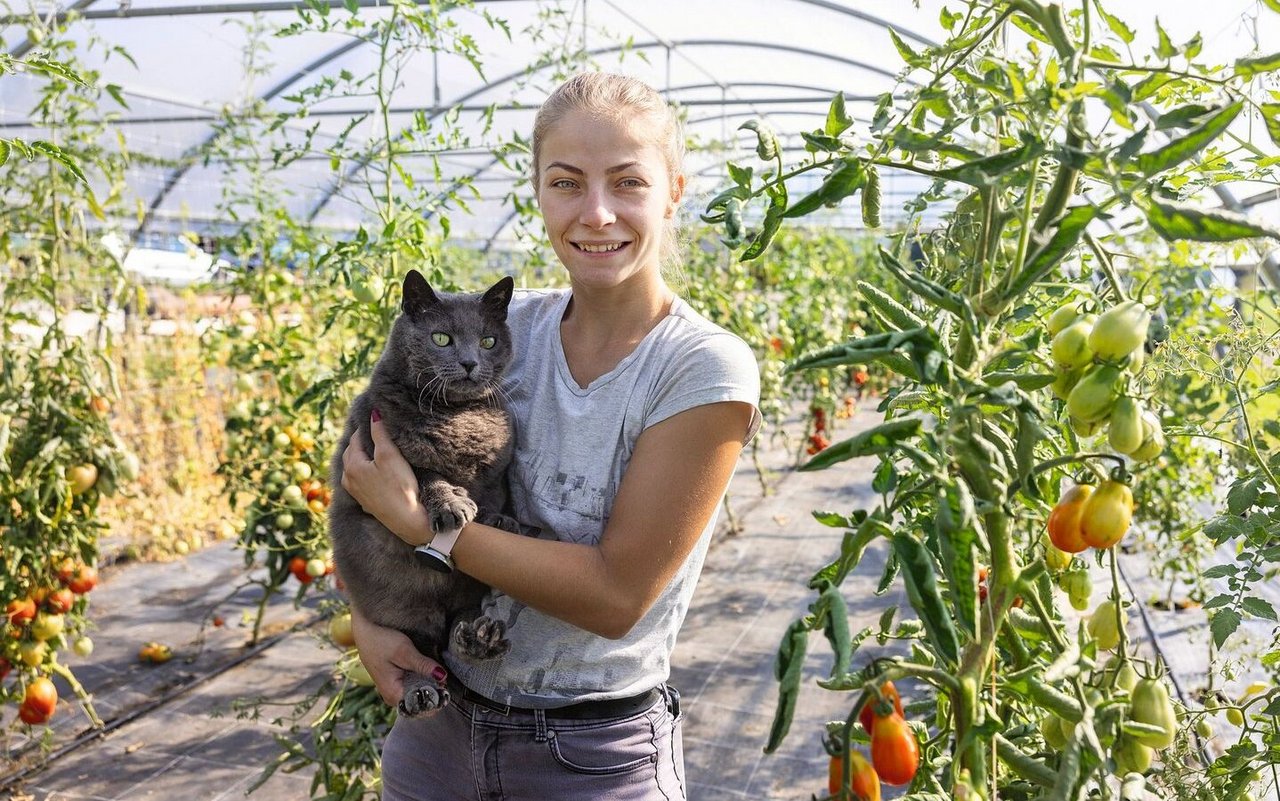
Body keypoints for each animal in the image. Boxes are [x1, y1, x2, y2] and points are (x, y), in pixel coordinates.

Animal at [330, 271, 519, 716]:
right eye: (441, 338)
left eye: (488, 340)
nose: (469, 362)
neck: (457, 414)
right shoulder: (381, 445)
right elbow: (428, 477)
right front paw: (451, 505)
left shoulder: (495, 469)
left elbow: (493, 493)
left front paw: (498, 519)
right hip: (397, 612)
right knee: (420, 653)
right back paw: (422, 693)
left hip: (467, 595)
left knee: (456, 634)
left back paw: (479, 640)